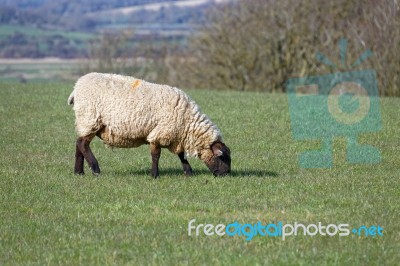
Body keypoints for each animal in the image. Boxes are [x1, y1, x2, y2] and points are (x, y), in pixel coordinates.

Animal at [68, 71, 231, 178]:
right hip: (90, 118)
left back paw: (79, 172)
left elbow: (181, 154)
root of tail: (76, 88)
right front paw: (154, 175)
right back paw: (95, 169)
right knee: (82, 144)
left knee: (78, 144)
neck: (188, 122)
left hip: (85, 121)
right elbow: (156, 155)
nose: (227, 174)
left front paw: (188, 172)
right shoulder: (160, 133)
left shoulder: (175, 134)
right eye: (223, 158)